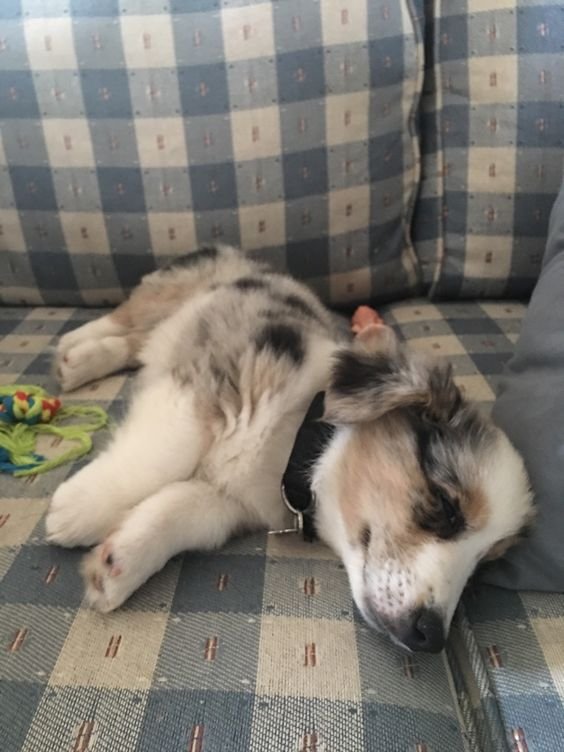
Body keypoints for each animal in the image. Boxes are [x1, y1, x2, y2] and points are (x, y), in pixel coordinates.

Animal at [45, 247, 532, 652]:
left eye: (484, 565)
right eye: (445, 506)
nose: (430, 637)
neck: (293, 442)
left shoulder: (232, 505)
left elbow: (181, 513)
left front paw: (116, 565)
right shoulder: (210, 387)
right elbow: (163, 456)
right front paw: (74, 509)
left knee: (135, 342)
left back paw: (78, 362)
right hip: (172, 290)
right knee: (124, 319)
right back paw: (73, 349)